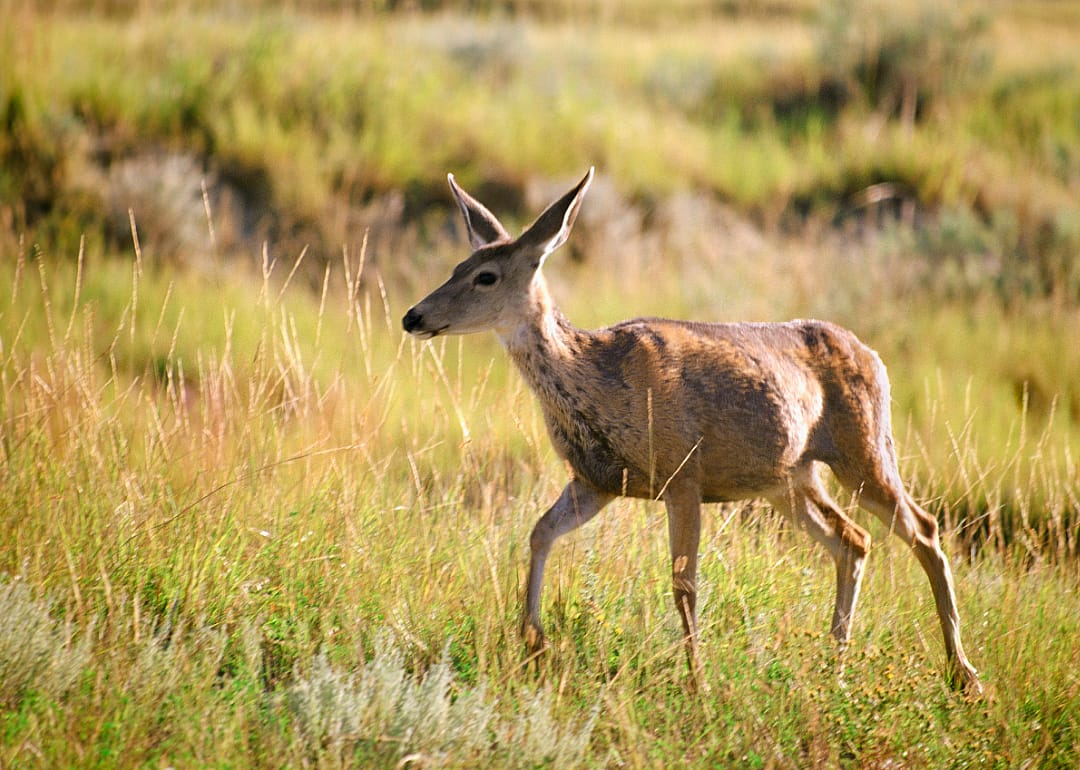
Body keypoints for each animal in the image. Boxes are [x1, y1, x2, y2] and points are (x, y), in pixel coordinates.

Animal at [402, 168, 982, 695]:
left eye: (486, 276)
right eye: (457, 265)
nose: (413, 316)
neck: (598, 379)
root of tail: (875, 356)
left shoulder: (682, 475)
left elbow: (684, 582)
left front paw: (697, 680)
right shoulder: (597, 481)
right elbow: (539, 532)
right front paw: (534, 642)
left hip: (863, 447)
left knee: (924, 529)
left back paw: (962, 673)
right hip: (789, 477)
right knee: (852, 539)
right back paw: (834, 663)